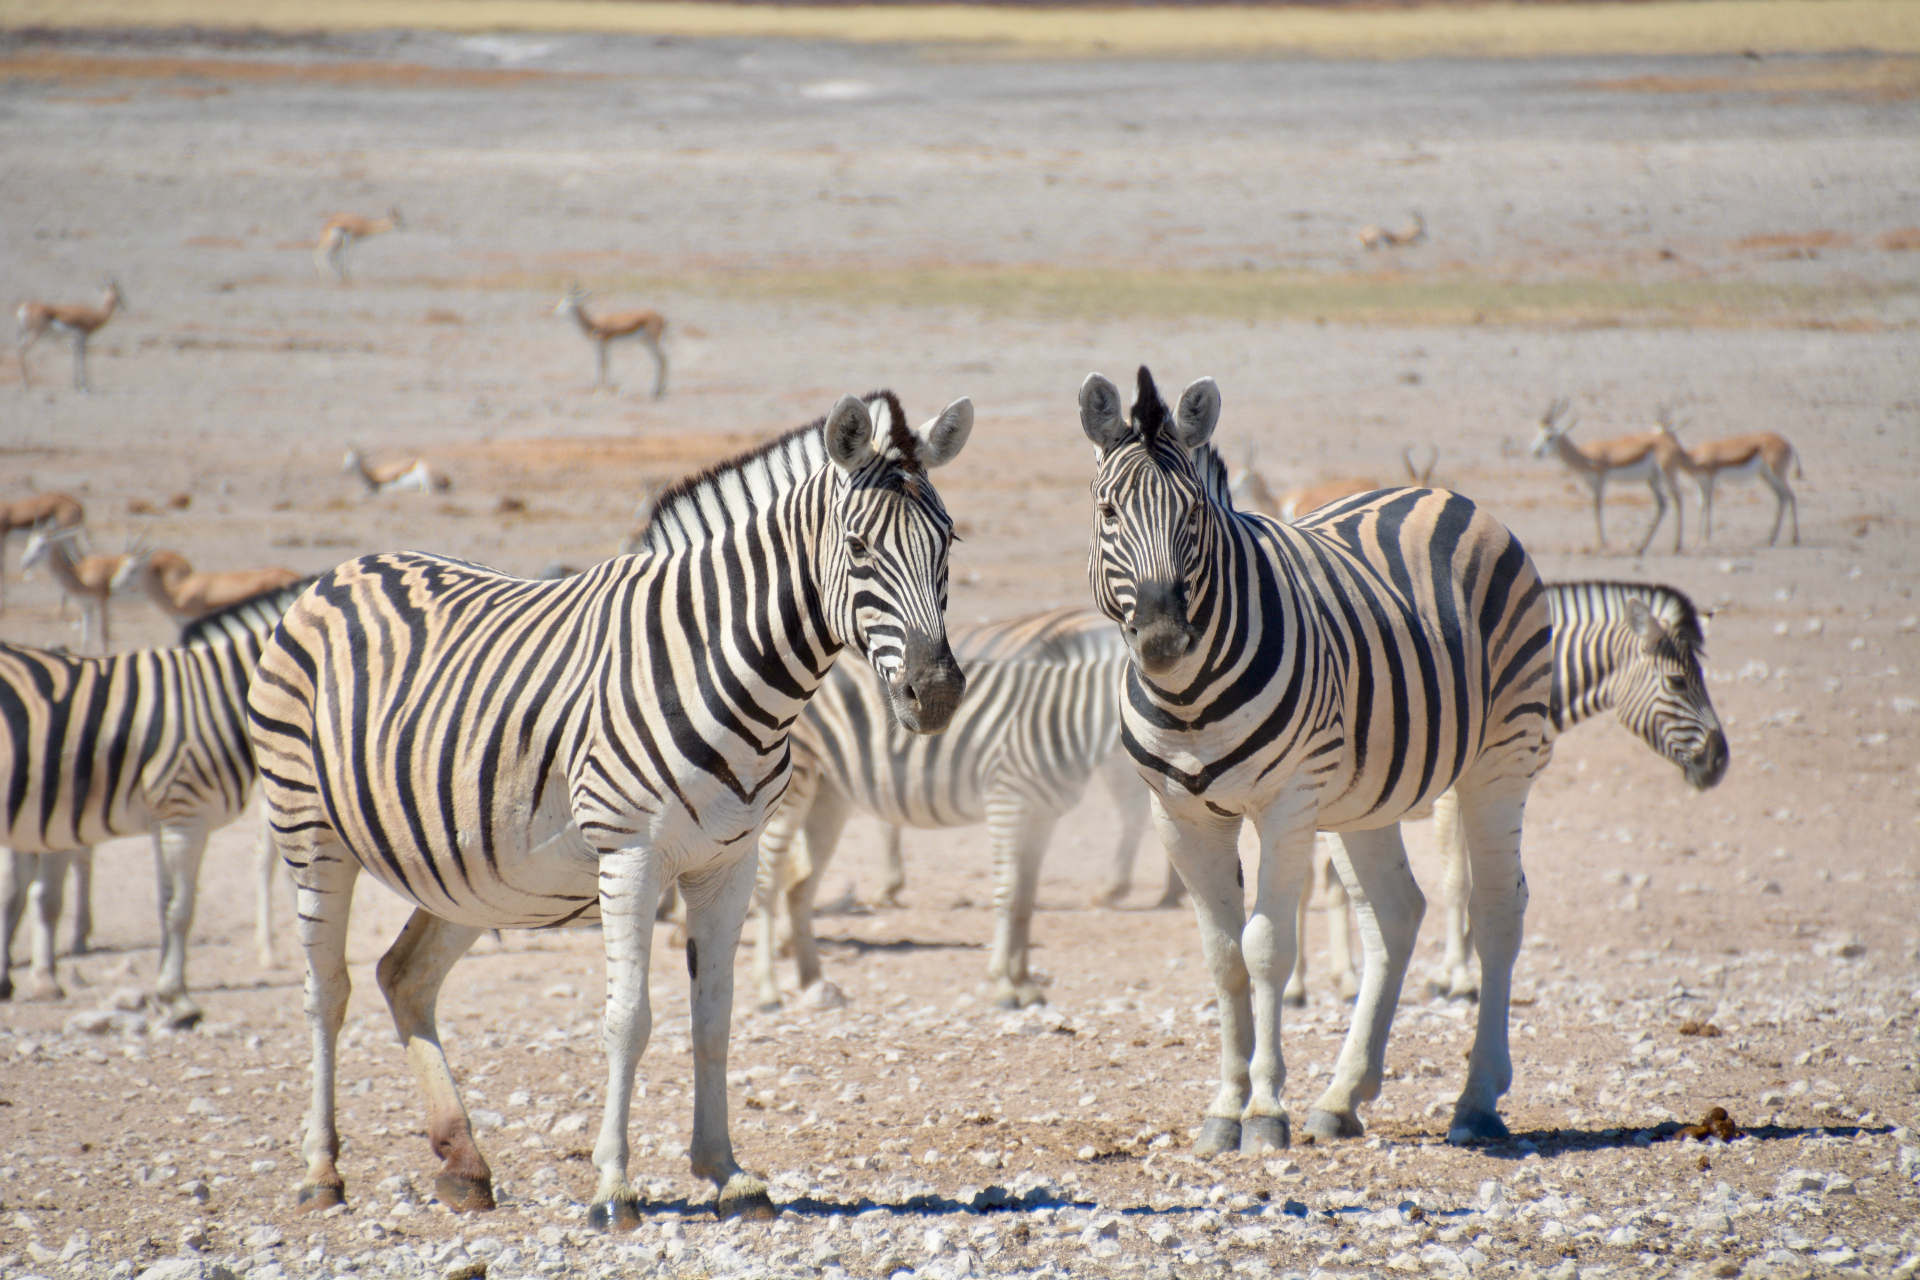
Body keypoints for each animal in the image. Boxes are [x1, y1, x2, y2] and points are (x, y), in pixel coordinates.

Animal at [0, 576, 316, 1025]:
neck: (220, 697)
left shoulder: (165, 819)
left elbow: (164, 903)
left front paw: (166, 992)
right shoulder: (183, 813)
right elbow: (180, 908)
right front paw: (178, 998)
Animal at [246, 391, 972, 1229]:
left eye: (949, 540)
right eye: (857, 547)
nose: (936, 693)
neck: (725, 669)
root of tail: (343, 570)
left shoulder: (729, 862)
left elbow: (714, 1018)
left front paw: (727, 1173)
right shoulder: (632, 854)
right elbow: (630, 1020)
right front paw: (614, 1189)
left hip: (472, 870)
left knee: (405, 977)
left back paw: (463, 1163)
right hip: (312, 832)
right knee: (325, 993)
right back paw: (321, 1171)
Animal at [1080, 366, 1553, 1153]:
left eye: (1192, 516)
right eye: (1109, 511)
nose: (1163, 638)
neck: (1188, 698)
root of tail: (1439, 494)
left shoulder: (1287, 803)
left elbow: (1268, 947)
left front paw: (1264, 1112)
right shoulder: (1178, 815)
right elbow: (1223, 958)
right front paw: (1224, 1110)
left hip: (1501, 759)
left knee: (1496, 907)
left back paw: (1477, 1101)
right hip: (1370, 794)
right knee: (1396, 912)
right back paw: (1341, 1096)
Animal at [1288, 579, 1729, 1005]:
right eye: (1677, 682)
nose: (1720, 761)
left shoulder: (1504, 787)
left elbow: (1484, 881)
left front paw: (1454, 973)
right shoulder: (1451, 797)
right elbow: (1457, 881)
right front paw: (1459, 978)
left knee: (1331, 883)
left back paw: (1346, 980)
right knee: (1307, 883)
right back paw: (1296, 986)